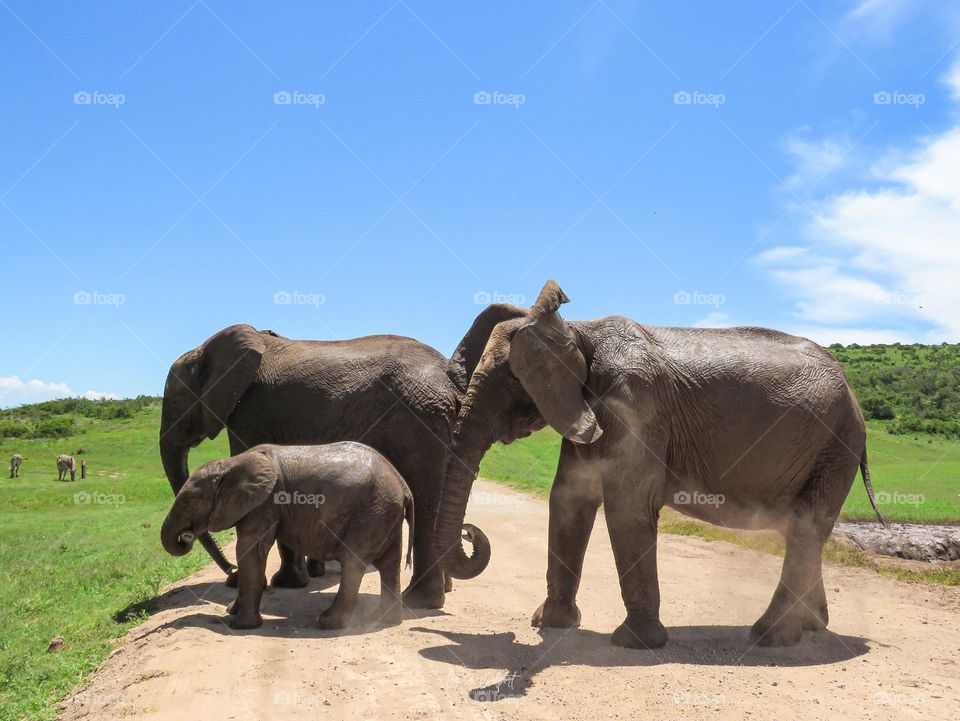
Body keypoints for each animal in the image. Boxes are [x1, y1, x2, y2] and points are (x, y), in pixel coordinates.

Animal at [160, 317, 504, 608]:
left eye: (175, 400)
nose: (230, 575)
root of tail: (448, 378)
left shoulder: (250, 411)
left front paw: (283, 584)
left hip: (418, 419)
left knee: (425, 495)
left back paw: (420, 601)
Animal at [161, 442, 414, 630]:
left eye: (190, 502)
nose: (185, 535)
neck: (230, 464)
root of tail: (403, 485)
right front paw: (231, 611)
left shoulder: (265, 502)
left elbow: (249, 550)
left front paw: (239, 625)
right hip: (384, 513)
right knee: (390, 565)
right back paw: (385, 620)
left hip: (370, 514)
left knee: (353, 563)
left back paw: (327, 622)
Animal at [434, 280, 884, 649]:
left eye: (513, 381)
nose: (471, 532)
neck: (576, 330)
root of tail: (853, 393)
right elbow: (568, 501)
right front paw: (551, 624)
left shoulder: (635, 404)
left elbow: (628, 506)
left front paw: (636, 643)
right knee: (805, 531)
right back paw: (811, 627)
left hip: (837, 442)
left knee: (806, 526)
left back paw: (769, 636)